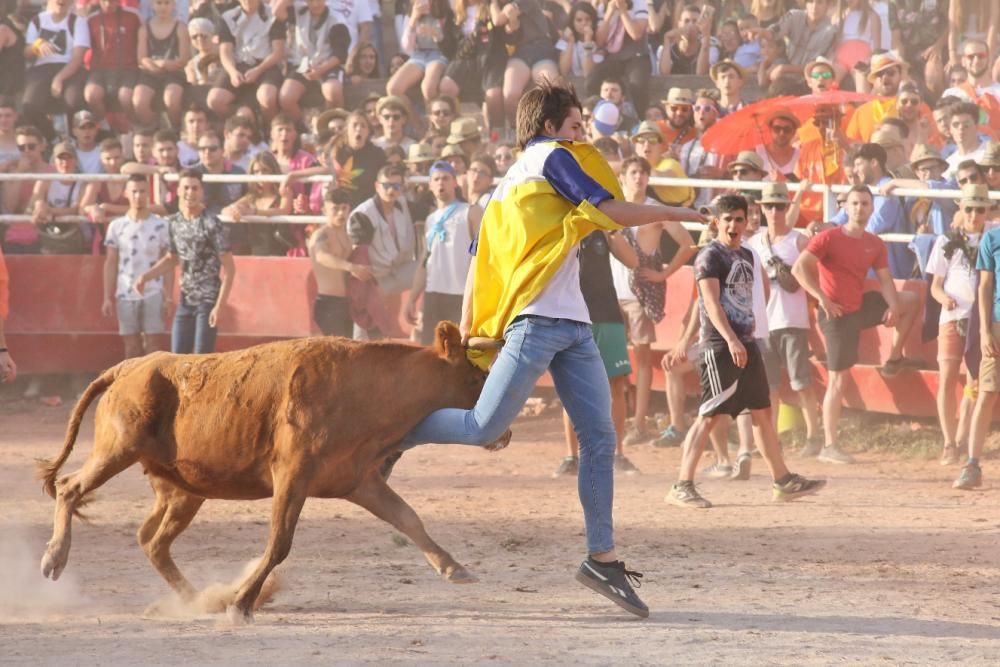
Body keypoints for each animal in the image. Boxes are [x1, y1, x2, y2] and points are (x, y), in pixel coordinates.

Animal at [38, 320, 500, 624]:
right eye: (475, 376)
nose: (505, 430)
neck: (367, 389)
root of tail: (132, 365)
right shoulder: (292, 477)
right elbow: (279, 544)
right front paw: (241, 604)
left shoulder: (360, 481)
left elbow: (409, 519)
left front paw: (453, 568)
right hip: (117, 449)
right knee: (69, 487)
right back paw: (54, 558)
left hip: (183, 490)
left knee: (152, 540)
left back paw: (198, 600)